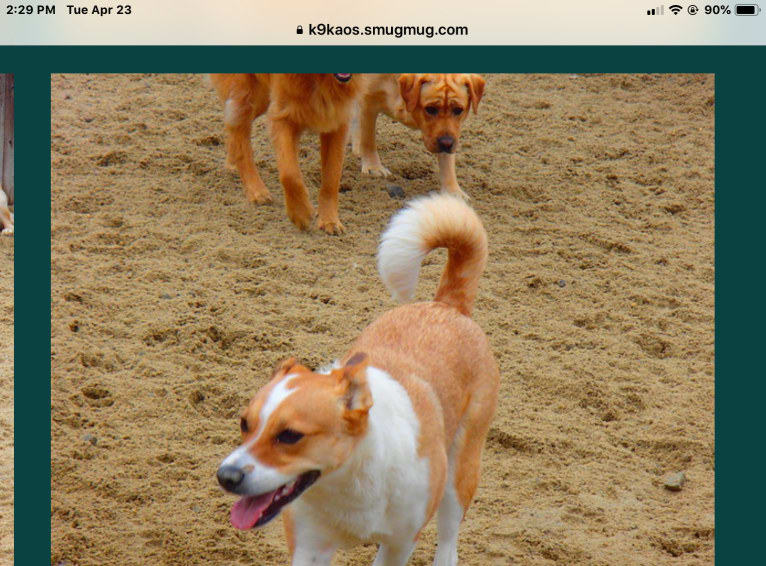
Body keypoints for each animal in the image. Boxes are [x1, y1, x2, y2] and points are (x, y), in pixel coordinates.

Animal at [219, 193, 500, 564]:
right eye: (244, 424)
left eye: (290, 435)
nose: (226, 476)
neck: (348, 479)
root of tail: (447, 306)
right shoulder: (310, 547)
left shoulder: (399, 544)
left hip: (459, 477)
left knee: (449, 542)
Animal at [354, 74, 486, 200]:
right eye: (430, 109)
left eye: (458, 110)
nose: (447, 143)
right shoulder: (368, 100)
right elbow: (368, 139)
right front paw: (373, 167)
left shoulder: (451, 134)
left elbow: (447, 162)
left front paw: (453, 191)